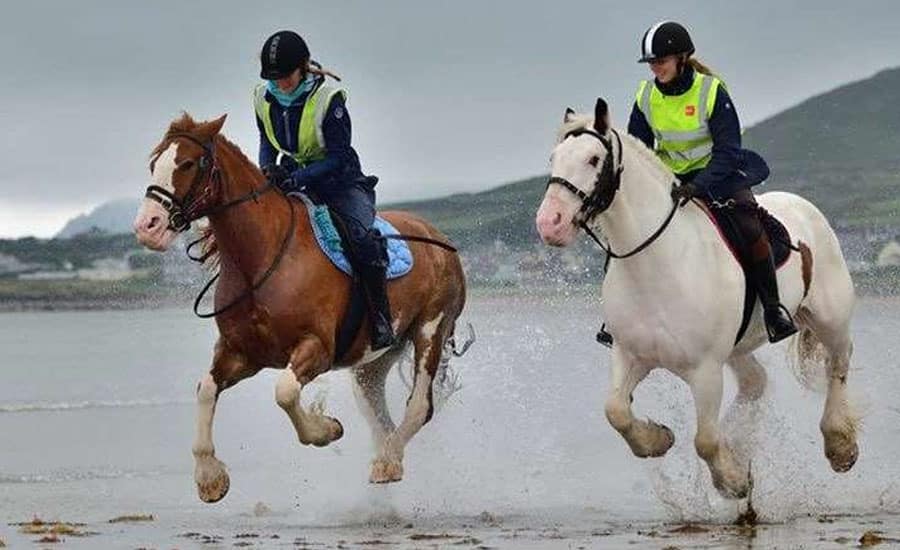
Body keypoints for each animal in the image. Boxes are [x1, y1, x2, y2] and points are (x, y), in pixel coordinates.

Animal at [135, 113, 472, 504]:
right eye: (153, 164)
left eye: (188, 163)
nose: (147, 227)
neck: (263, 258)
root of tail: (440, 239)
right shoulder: (240, 353)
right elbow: (205, 389)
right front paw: (209, 478)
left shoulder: (317, 348)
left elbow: (285, 393)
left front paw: (326, 429)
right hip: (374, 359)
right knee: (379, 414)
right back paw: (387, 459)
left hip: (431, 330)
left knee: (420, 406)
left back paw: (387, 461)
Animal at [536, 99, 856, 500]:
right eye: (553, 158)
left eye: (594, 159)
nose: (550, 223)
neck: (654, 264)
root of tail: (802, 205)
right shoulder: (630, 354)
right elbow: (616, 411)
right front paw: (657, 440)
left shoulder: (705, 370)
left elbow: (704, 440)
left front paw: (733, 482)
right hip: (739, 346)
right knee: (756, 381)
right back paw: (740, 442)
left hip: (831, 318)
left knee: (838, 365)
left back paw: (840, 446)